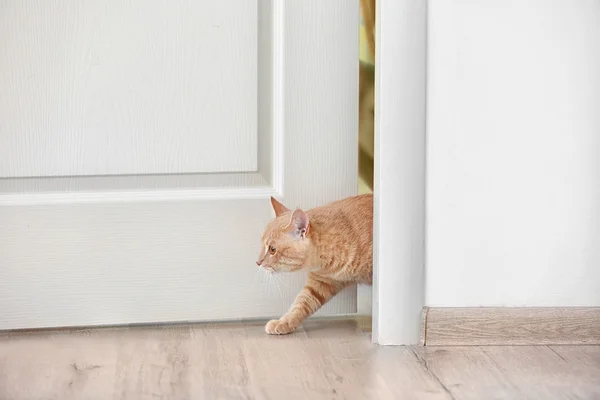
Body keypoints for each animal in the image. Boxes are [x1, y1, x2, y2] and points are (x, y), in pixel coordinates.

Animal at [253, 194, 370, 334]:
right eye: (262, 245)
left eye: (272, 249)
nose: (257, 262)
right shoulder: (320, 282)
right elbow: (301, 303)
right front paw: (283, 322)